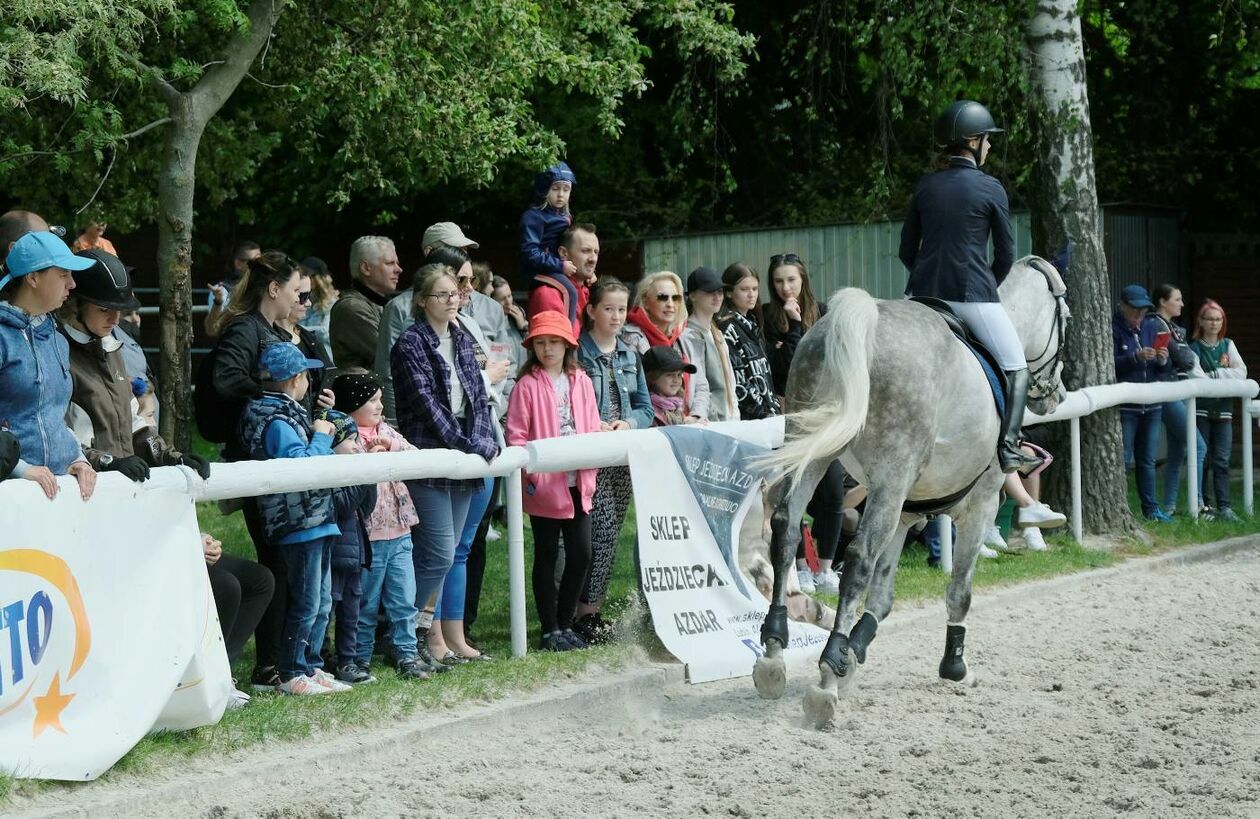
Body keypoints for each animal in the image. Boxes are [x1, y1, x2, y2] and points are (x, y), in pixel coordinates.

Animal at [750, 254, 1068, 725]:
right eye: (1066, 319)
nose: (1056, 396)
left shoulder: (904, 511)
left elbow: (882, 598)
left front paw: (853, 656)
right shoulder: (980, 504)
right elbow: (959, 592)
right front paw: (955, 667)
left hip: (816, 449)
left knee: (787, 527)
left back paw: (774, 654)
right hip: (889, 473)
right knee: (857, 557)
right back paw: (825, 680)